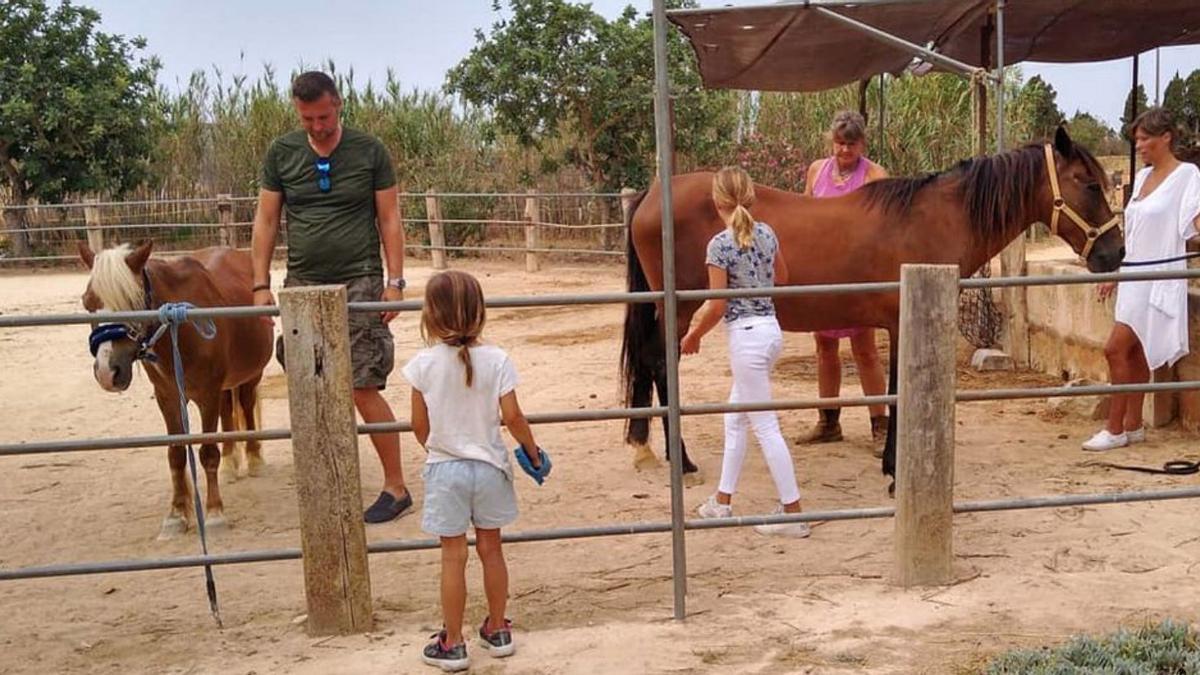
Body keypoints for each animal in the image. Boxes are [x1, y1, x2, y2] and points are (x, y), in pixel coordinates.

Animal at [82, 240, 274, 535]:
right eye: (87, 303)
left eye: (132, 303)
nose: (107, 372)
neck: (179, 333)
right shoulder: (168, 397)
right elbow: (175, 454)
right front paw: (177, 514)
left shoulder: (207, 395)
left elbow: (207, 453)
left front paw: (215, 512)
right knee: (228, 412)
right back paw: (230, 463)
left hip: (250, 377)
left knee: (246, 405)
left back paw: (254, 460)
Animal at [624, 126, 1128, 492]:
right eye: (1088, 184)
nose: (1115, 253)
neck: (935, 218)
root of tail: (651, 196)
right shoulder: (905, 321)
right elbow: (898, 388)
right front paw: (895, 471)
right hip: (681, 309)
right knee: (661, 364)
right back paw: (681, 459)